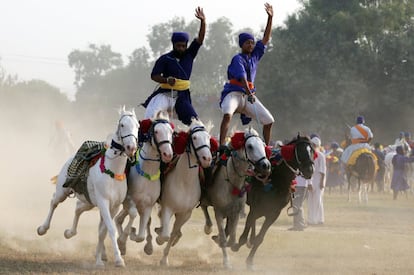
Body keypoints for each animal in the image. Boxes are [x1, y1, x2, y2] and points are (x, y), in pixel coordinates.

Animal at [36, 106, 138, 268]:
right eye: (122, 125)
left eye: (137, 126)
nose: (131, 147)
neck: (113, 172)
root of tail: (70, 157)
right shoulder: (103, 202)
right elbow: (110, 229)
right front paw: (118, 259)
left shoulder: (114, 206)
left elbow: (103, 231)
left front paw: (99, 260)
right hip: (63, 191)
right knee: (54, 202)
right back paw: (42, 228)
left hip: (89, 202)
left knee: (78, 208)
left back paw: (69, 232)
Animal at [115, 111, 174, 256]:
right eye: (157, 131)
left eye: (171, 132)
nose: (168, 154)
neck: (147, 175)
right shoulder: (130, 200)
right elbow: (133, 216)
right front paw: (125, 238)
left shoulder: (148, 205)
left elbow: (141, 235)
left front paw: (134, 237)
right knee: (119, 218)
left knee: (119, 219)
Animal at [154, 119, 213, 268]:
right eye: (195, 137)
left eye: (208, 138)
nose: (207, 158)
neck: (185, 182)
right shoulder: (168, 208)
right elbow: (165, 235)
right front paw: (159, 239)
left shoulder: (185, 213)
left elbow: (173, 233)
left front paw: (164, 259)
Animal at [201, 128, 272, 268]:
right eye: (250, 146)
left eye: (263, 145)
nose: (265, 165)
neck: (231, 182)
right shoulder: (219, 211)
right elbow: (223, 238)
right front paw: (226, 262)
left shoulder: (236, 212)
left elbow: (232, 237)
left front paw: (232, 244)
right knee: (204, 207)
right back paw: (208, 227)